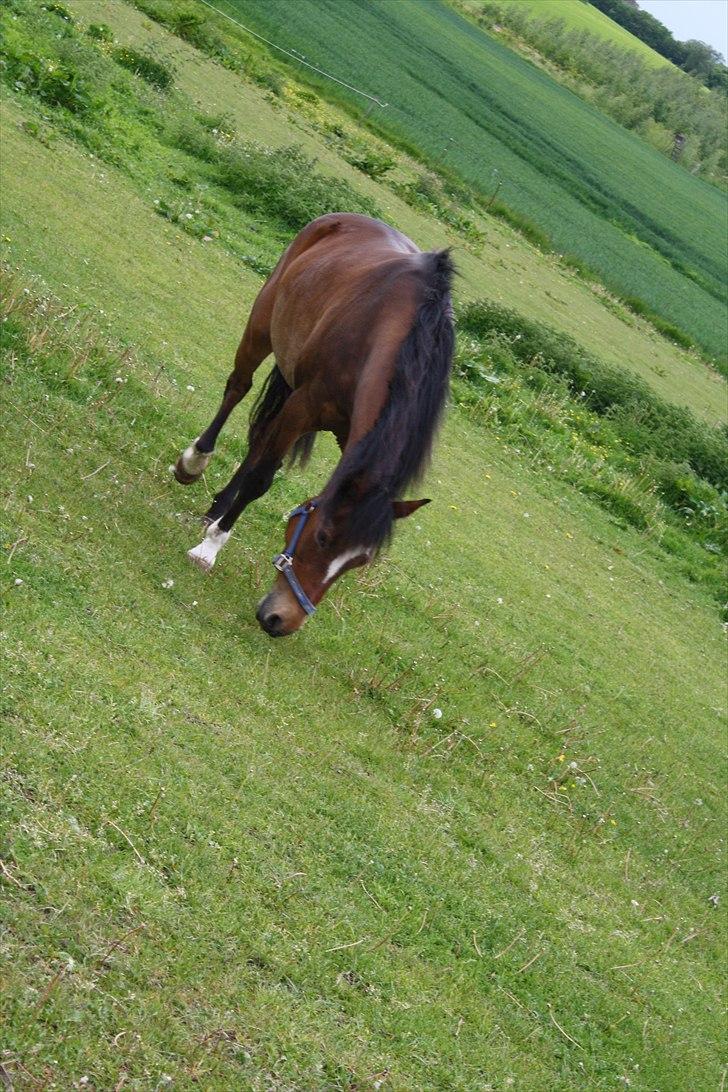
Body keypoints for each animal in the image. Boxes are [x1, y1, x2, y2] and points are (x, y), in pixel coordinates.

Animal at [173, 212, 451, 637]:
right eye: (322, 537)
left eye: (359, 561)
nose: (281, 621)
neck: (391, 334)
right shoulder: (306, 405)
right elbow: (261, 480)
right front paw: (209, 548)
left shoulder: (350, 435)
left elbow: (263, 458)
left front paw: (217, 523)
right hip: (262, 326)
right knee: (238, 388)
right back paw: (195, 462)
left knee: (260, 439)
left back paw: (217, 507)